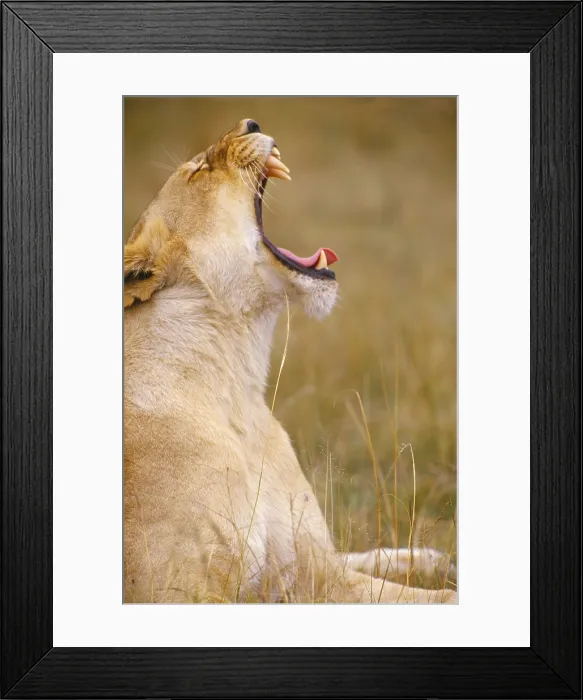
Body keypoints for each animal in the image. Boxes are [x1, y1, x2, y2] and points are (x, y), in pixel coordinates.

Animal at [124, 118, 456, 603]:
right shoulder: (178, 593)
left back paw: (432, 557)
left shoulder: (311, 567)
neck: (240, 390)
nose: (251, 123)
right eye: (200, 170)